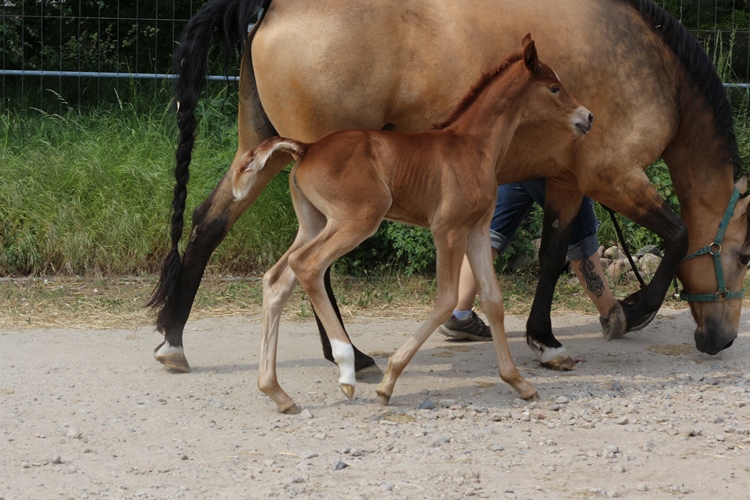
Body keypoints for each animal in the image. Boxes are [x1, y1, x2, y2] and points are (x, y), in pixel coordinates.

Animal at [147, 0, 750, 376]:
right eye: (744, 255)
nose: (722, 340)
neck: (656, 66)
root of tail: (272, 8)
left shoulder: (565, 180)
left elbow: (554, 253)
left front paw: (542, 336)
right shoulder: (612, 175)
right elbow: (677, 235)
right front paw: (634, 308)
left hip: (260, 153)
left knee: (208, 224)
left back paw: (174, 340)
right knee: (314, 264)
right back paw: (350, 356)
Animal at [234, 36, 592, 414]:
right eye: (554, 87)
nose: (587, 117)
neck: (474, 146)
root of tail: (306, 148)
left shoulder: (478, 231)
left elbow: (493, 300)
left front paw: (519, 382)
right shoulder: (448, 230)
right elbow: (447, 298)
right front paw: (389, 382)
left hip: (314, 223)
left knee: (277, 279)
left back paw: (277, 392)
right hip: (358, 218)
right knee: (307, 265)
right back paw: (347, 369)